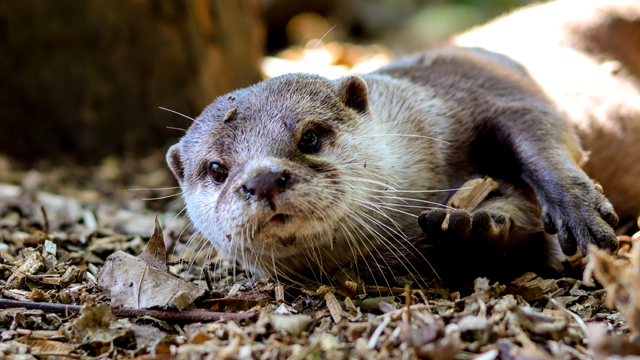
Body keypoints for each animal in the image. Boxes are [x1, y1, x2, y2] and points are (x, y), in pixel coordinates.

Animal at [166, 0, 640, 284]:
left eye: (310, 137)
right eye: (217, 170)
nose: (263, 180)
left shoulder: (487, 87)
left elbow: (539, 127)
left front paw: (579, 212)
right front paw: (476, 227)